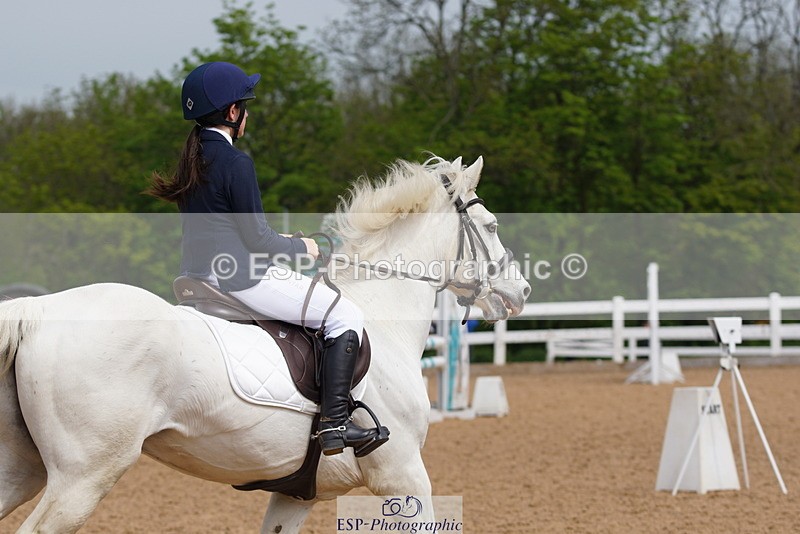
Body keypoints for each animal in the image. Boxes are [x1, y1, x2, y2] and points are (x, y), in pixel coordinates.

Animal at [0, 156, 530, 533]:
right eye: (492, 226)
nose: (521, 291)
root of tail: (38, 311)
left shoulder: (296, 494)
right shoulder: (403, 475)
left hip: (23, 471)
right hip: (83, 478)